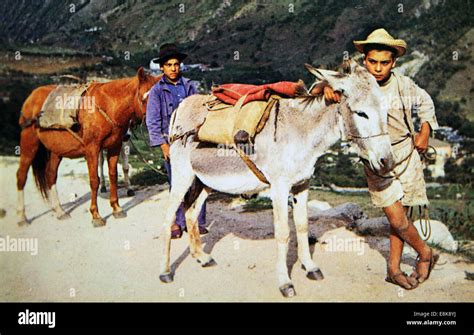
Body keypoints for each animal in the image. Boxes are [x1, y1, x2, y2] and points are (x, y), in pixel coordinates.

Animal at [17, 67, 159, 227]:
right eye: (144, 97)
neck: (107, 106)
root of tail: (32, 96)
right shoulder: (92, 149)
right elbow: (94, 180)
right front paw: (96, 215)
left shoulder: (115, 147)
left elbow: (113, 175)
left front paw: (116, 208)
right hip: (29, 144)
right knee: (21, 176)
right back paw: (22, 217)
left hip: (56, 151)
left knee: (50, 175)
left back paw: (59, 211)